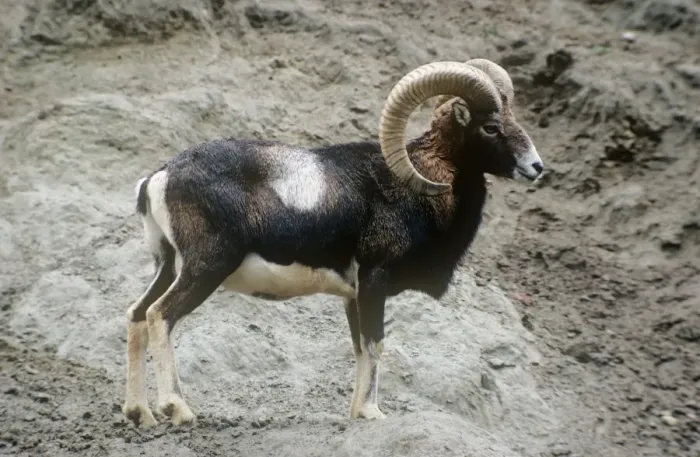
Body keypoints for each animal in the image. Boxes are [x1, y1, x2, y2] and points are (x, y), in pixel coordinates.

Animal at [121, 58, 544, 428]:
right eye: (490, 127)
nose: (536, 167)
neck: (419, 188)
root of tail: (158, 179)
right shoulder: (374, 280)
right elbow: (376, 344)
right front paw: (373, 413)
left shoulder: (353, 296)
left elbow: (359, 348)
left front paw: (357, 413)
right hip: (206, 268)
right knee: (160, 315)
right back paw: (177, 409)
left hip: (169, 266)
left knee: (137, 314)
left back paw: (140, 414)